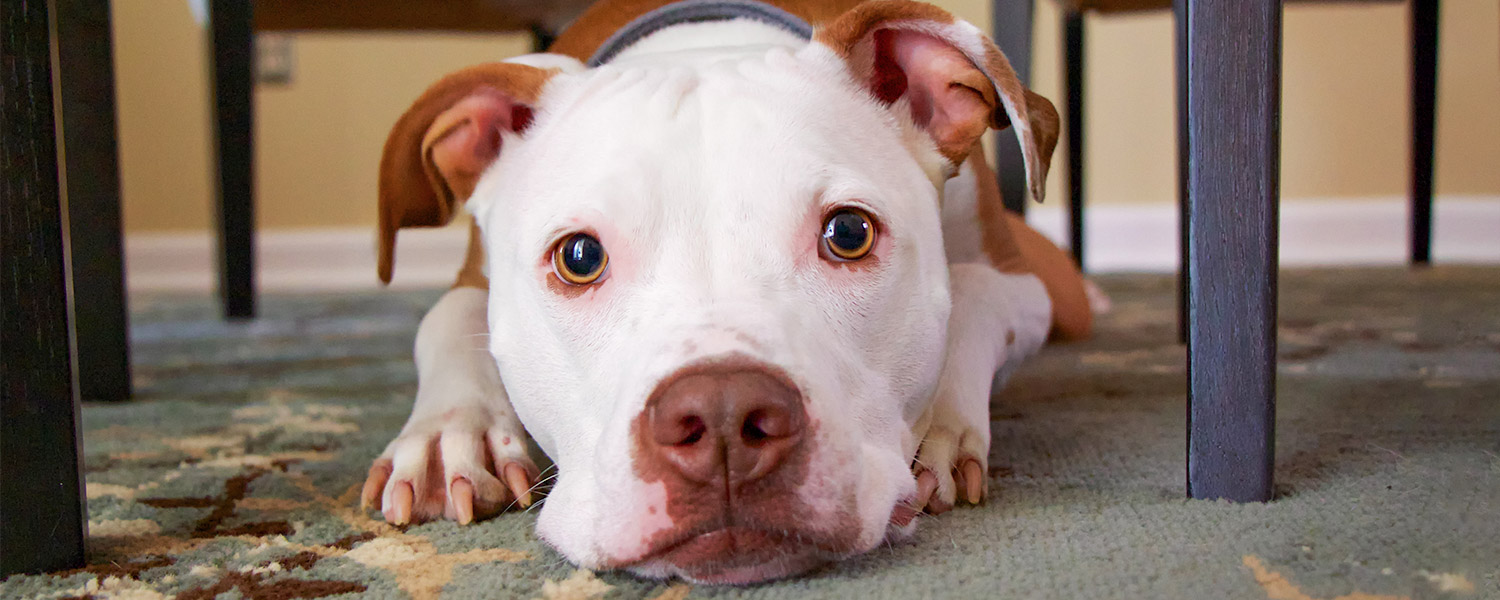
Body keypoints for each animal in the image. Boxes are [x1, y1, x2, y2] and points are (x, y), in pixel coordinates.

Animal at [360, 0, 1092, 585]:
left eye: (849, 233)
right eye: (579, 257)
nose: (721, 418)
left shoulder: (1024, 285)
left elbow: (973, 293)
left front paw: (941, 424)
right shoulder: (471, 280)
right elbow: (446, 317)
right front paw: (450, 436)